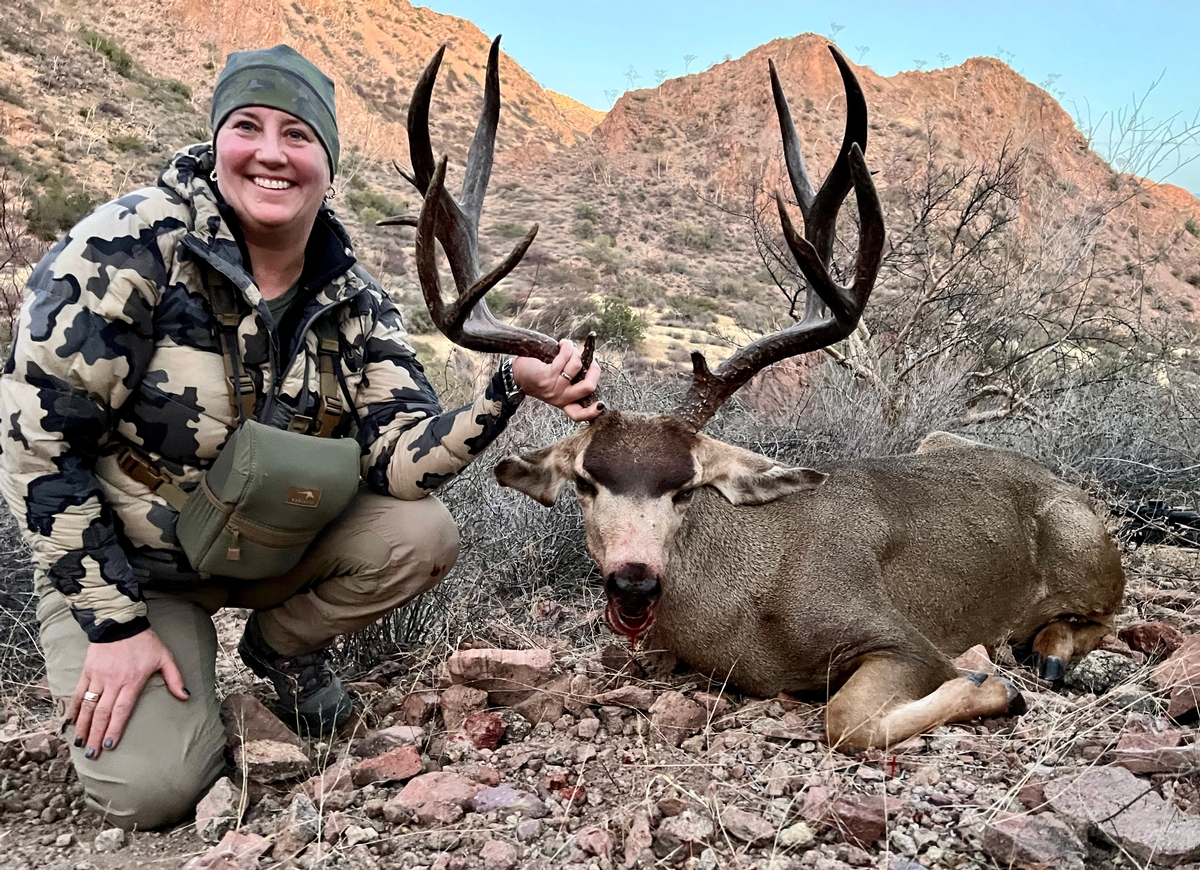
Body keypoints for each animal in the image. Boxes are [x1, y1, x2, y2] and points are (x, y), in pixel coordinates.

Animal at [393, 37, 1126, 752]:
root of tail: (1064, 485)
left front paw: (995, 684)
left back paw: (1046, 653)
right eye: (583, 482)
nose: (633, 579)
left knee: (1106, 615)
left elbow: (848, 719)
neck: (752, 605)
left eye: (686, 488)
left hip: (1084, 554)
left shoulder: (902, 635)